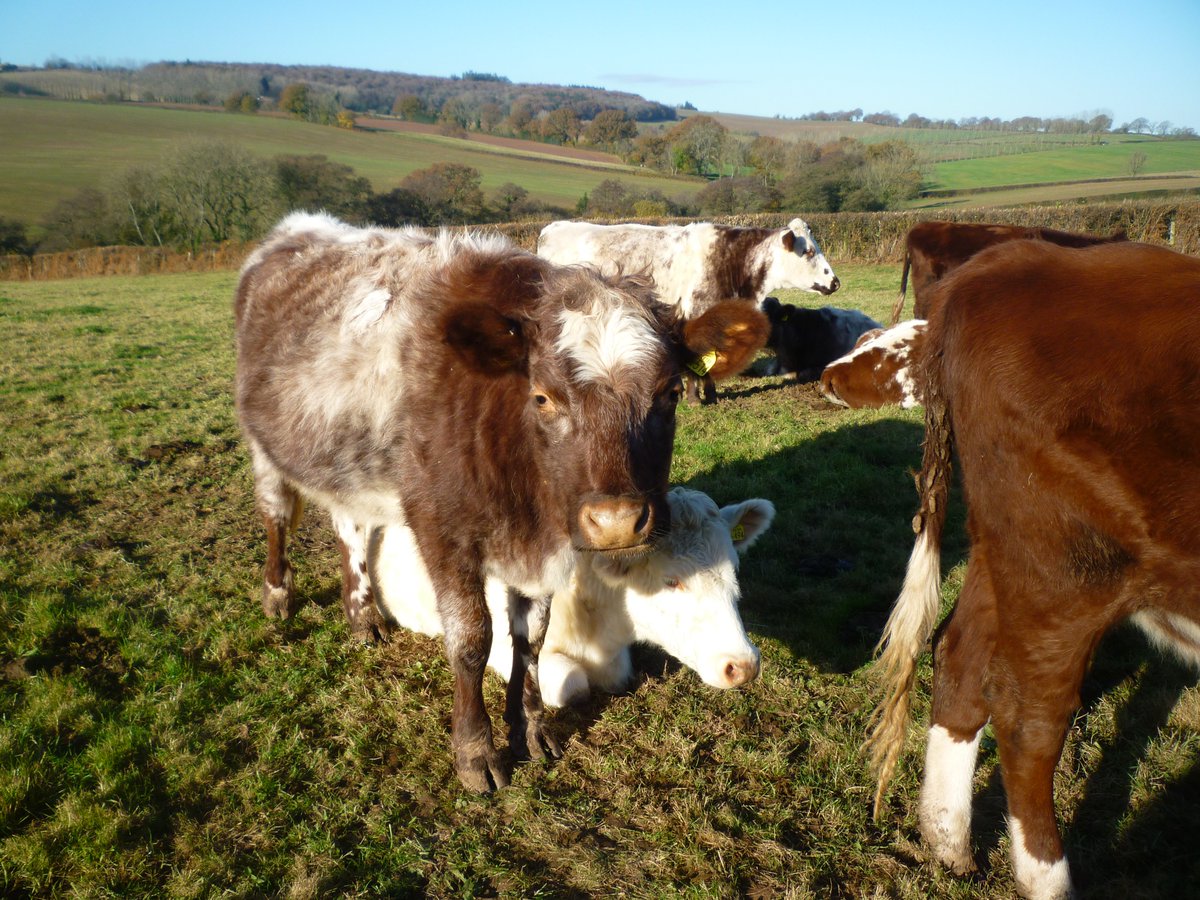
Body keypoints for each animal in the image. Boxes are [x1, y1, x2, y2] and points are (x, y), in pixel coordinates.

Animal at [537, 217, 840, 404]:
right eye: (809, 251)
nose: (835, 282)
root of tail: (553, 228)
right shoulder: (696, 313)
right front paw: (695, 396)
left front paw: (710, 394)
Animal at [864, 239, 1200, 899]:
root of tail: (1003, 261)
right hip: (1065, 568)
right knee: (1028, 719)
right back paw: (1046, 878)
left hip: (1002, 550)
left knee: (959, 659)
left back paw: (948, 844)